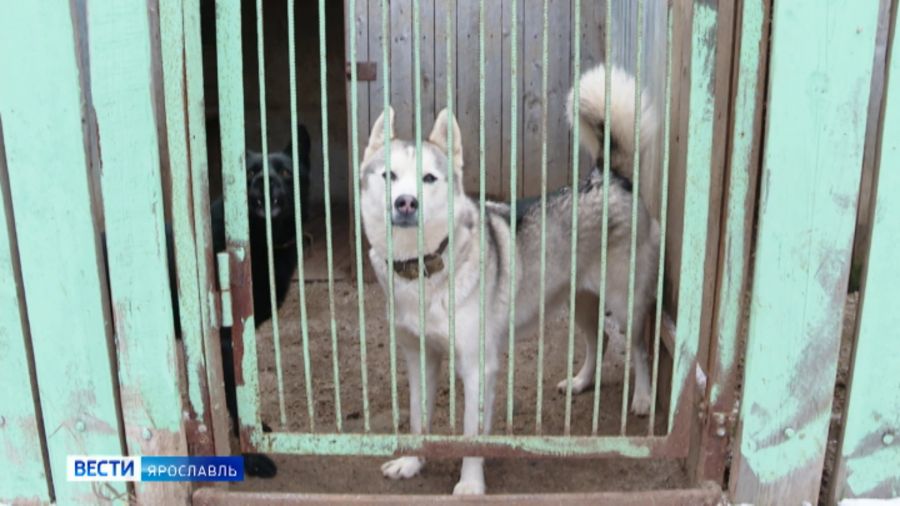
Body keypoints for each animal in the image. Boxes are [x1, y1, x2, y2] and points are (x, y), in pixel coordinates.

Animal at [358, 64, 660, 494]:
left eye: (429, 179)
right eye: (389, 176)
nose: (405, 203)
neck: (426, 271)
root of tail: (608, 176)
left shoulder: (478, 368)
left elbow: (472, 437)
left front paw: (470, 485)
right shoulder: (419, 359)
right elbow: (418, 420)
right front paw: (412, 463)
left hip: (626, 305)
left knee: (639, 347)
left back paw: (643, 399)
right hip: (579, 302)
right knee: (599, 340)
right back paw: (580, 383)